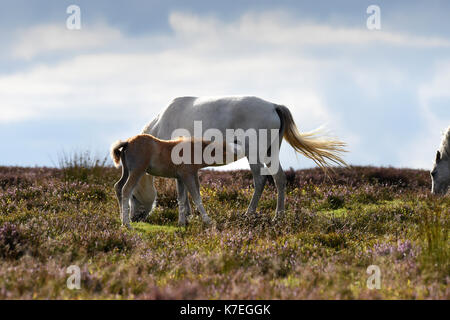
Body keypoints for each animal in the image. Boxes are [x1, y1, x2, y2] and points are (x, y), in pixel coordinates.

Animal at [128, 96, 346, 224]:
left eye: (133, 196)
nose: (135, 218)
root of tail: (274, 107)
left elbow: (182, 190)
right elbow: (189, 189)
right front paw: (189, 214)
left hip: (255, 154)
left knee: (260, 180)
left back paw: (249, 213)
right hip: (270, 153)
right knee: (280, 178)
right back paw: (278, 215)